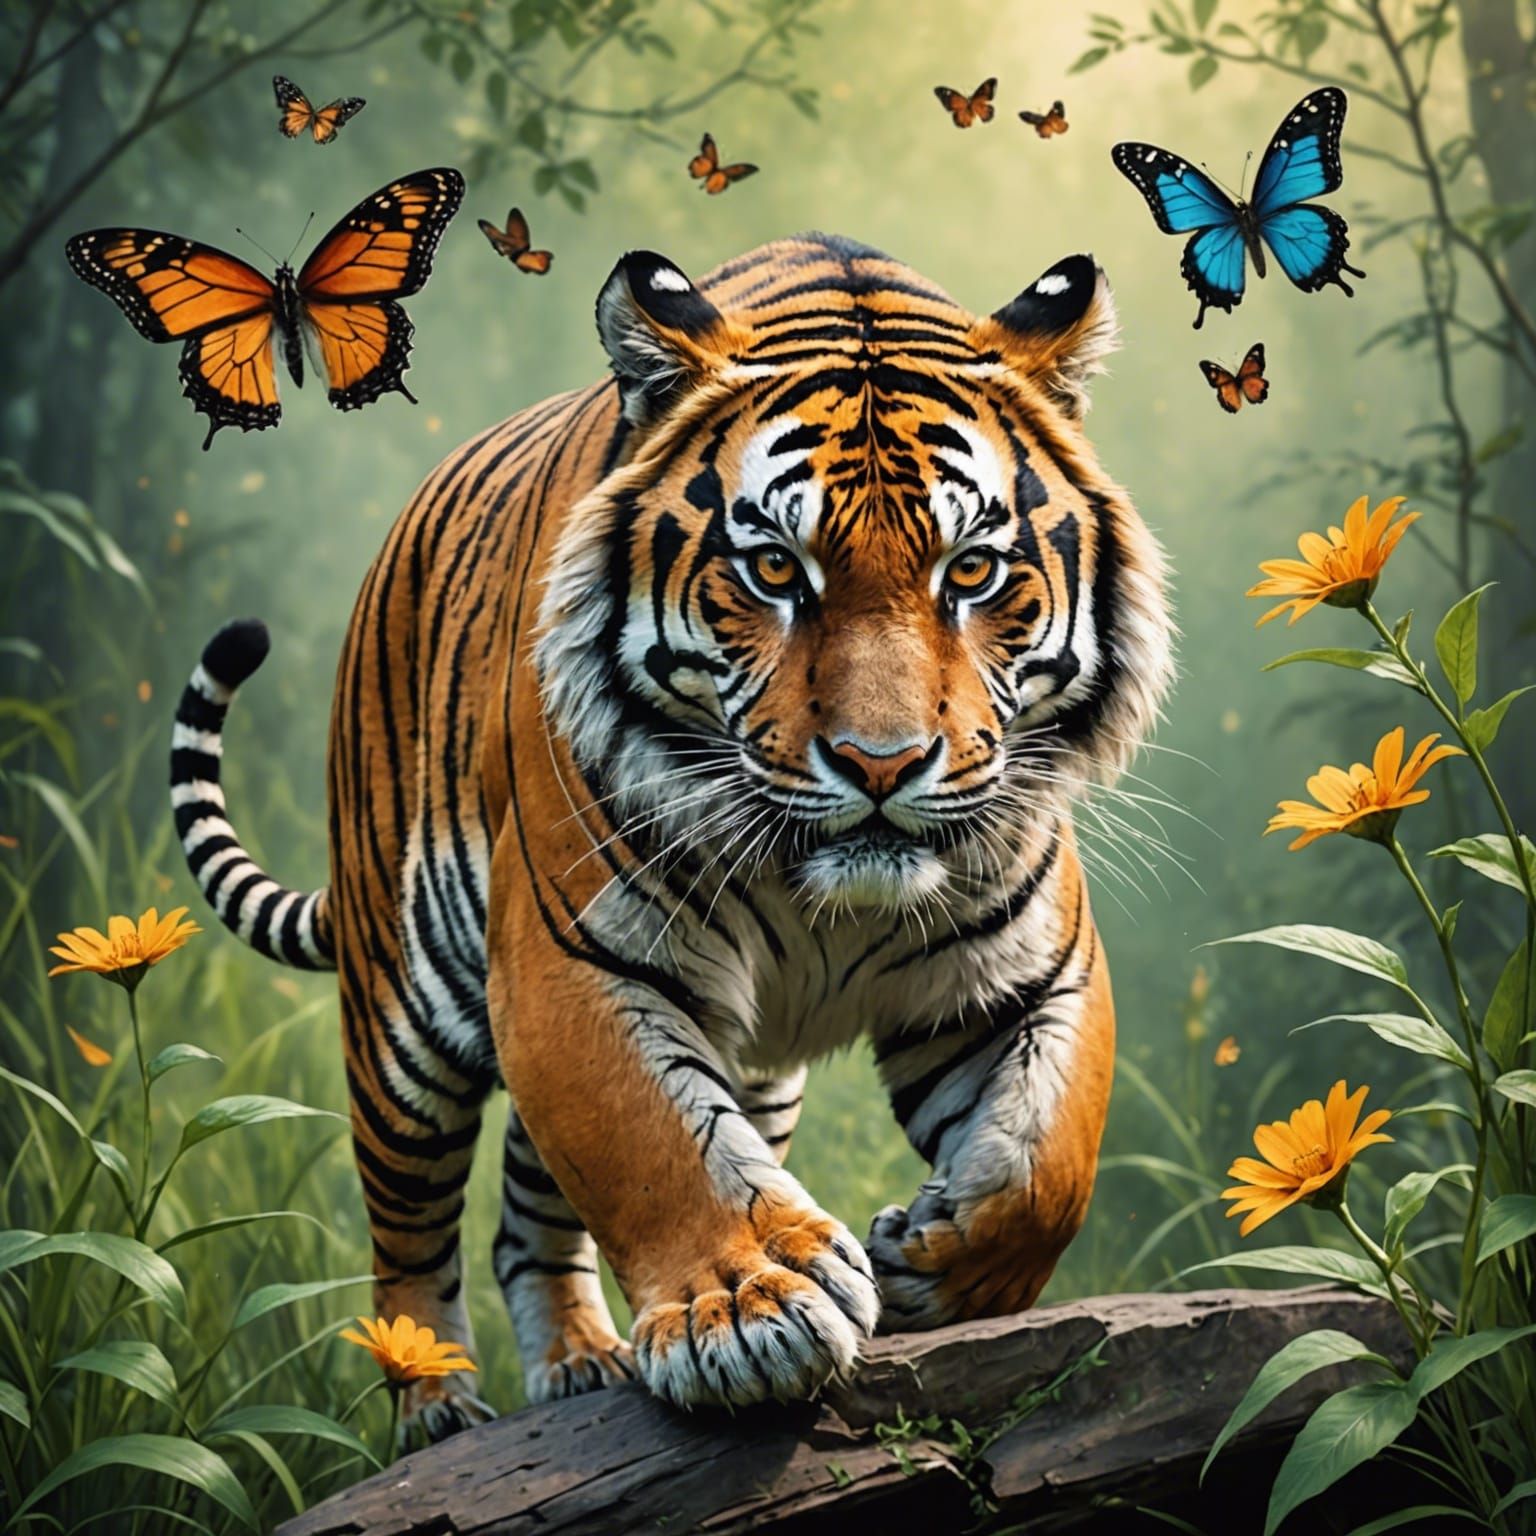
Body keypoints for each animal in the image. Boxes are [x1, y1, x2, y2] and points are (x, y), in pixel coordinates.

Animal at [170, 231, 1173, 1438]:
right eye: (775, 568)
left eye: (971, 570)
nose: (881, 764)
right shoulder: (571, 959)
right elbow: (654, 1144)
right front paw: (748, 1309)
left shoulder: (1030, 972)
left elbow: (1048, 1162)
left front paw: (934, 1260)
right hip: (403, 1018)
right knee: (407, 1216)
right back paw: (437, 1400)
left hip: (750, 1075)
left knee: (527, 1213)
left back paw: (582, 1362)